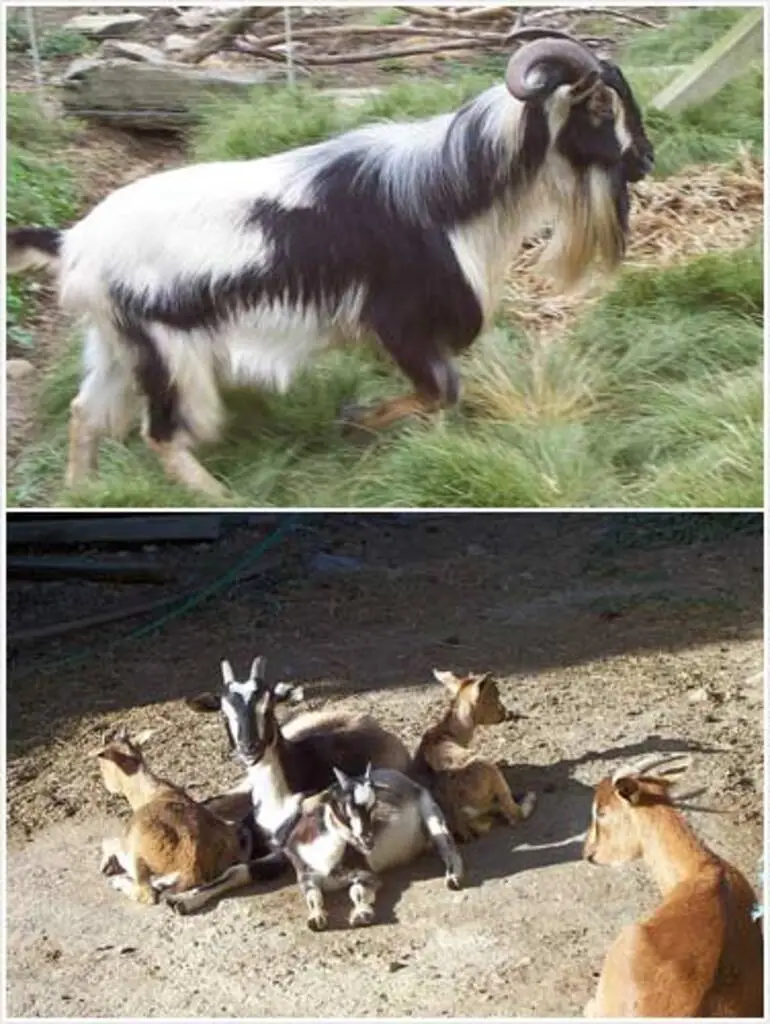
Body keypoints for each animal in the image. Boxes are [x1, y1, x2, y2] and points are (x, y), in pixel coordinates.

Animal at [6, 31, 654, 499]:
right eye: (600, 105)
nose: (645, 159)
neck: (448, 193)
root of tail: (73, 244)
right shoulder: (401, 323)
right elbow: (442, 389)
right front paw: (354, 420)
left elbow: (440, 394)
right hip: (169, 352)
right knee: (163, 435)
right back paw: (222, 498)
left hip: (118, 343)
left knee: (84, 413)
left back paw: (81, 494)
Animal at [91, 726, 284, 906]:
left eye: (101, 761)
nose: (107, 785)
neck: (148, 793)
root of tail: (192, 866)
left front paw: (107, 865)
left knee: (147, 893)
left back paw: (120, 880)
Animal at [411, 669, 536, 841]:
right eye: (495, 694)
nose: (505, 712)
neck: (447, 733)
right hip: (490, 772)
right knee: (513, 813)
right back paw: (530, 797)